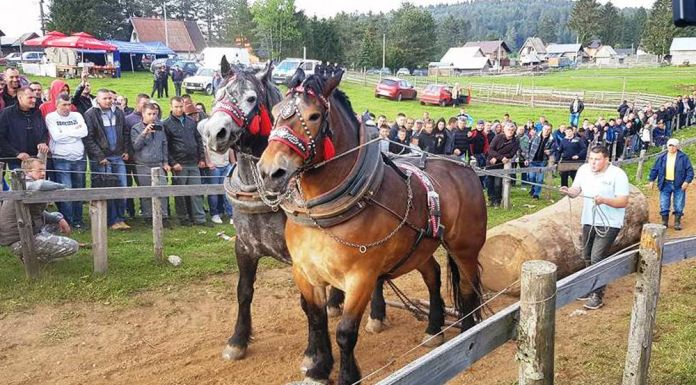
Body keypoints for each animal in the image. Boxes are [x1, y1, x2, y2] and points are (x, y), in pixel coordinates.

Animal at [254, 69, 484, 384]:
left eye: (314, 116)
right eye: (275, 112)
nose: (270, 172)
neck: (323, 217)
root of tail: (465, 168)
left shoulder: (360, 278)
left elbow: (345, 332)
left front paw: (348, 375)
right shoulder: (305, 273)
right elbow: (316, 319)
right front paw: (318, 369)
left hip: (465, 249)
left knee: (468, 289)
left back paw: (467, 331)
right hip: (419, 248)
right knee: (433, 276)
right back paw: (434, 329)